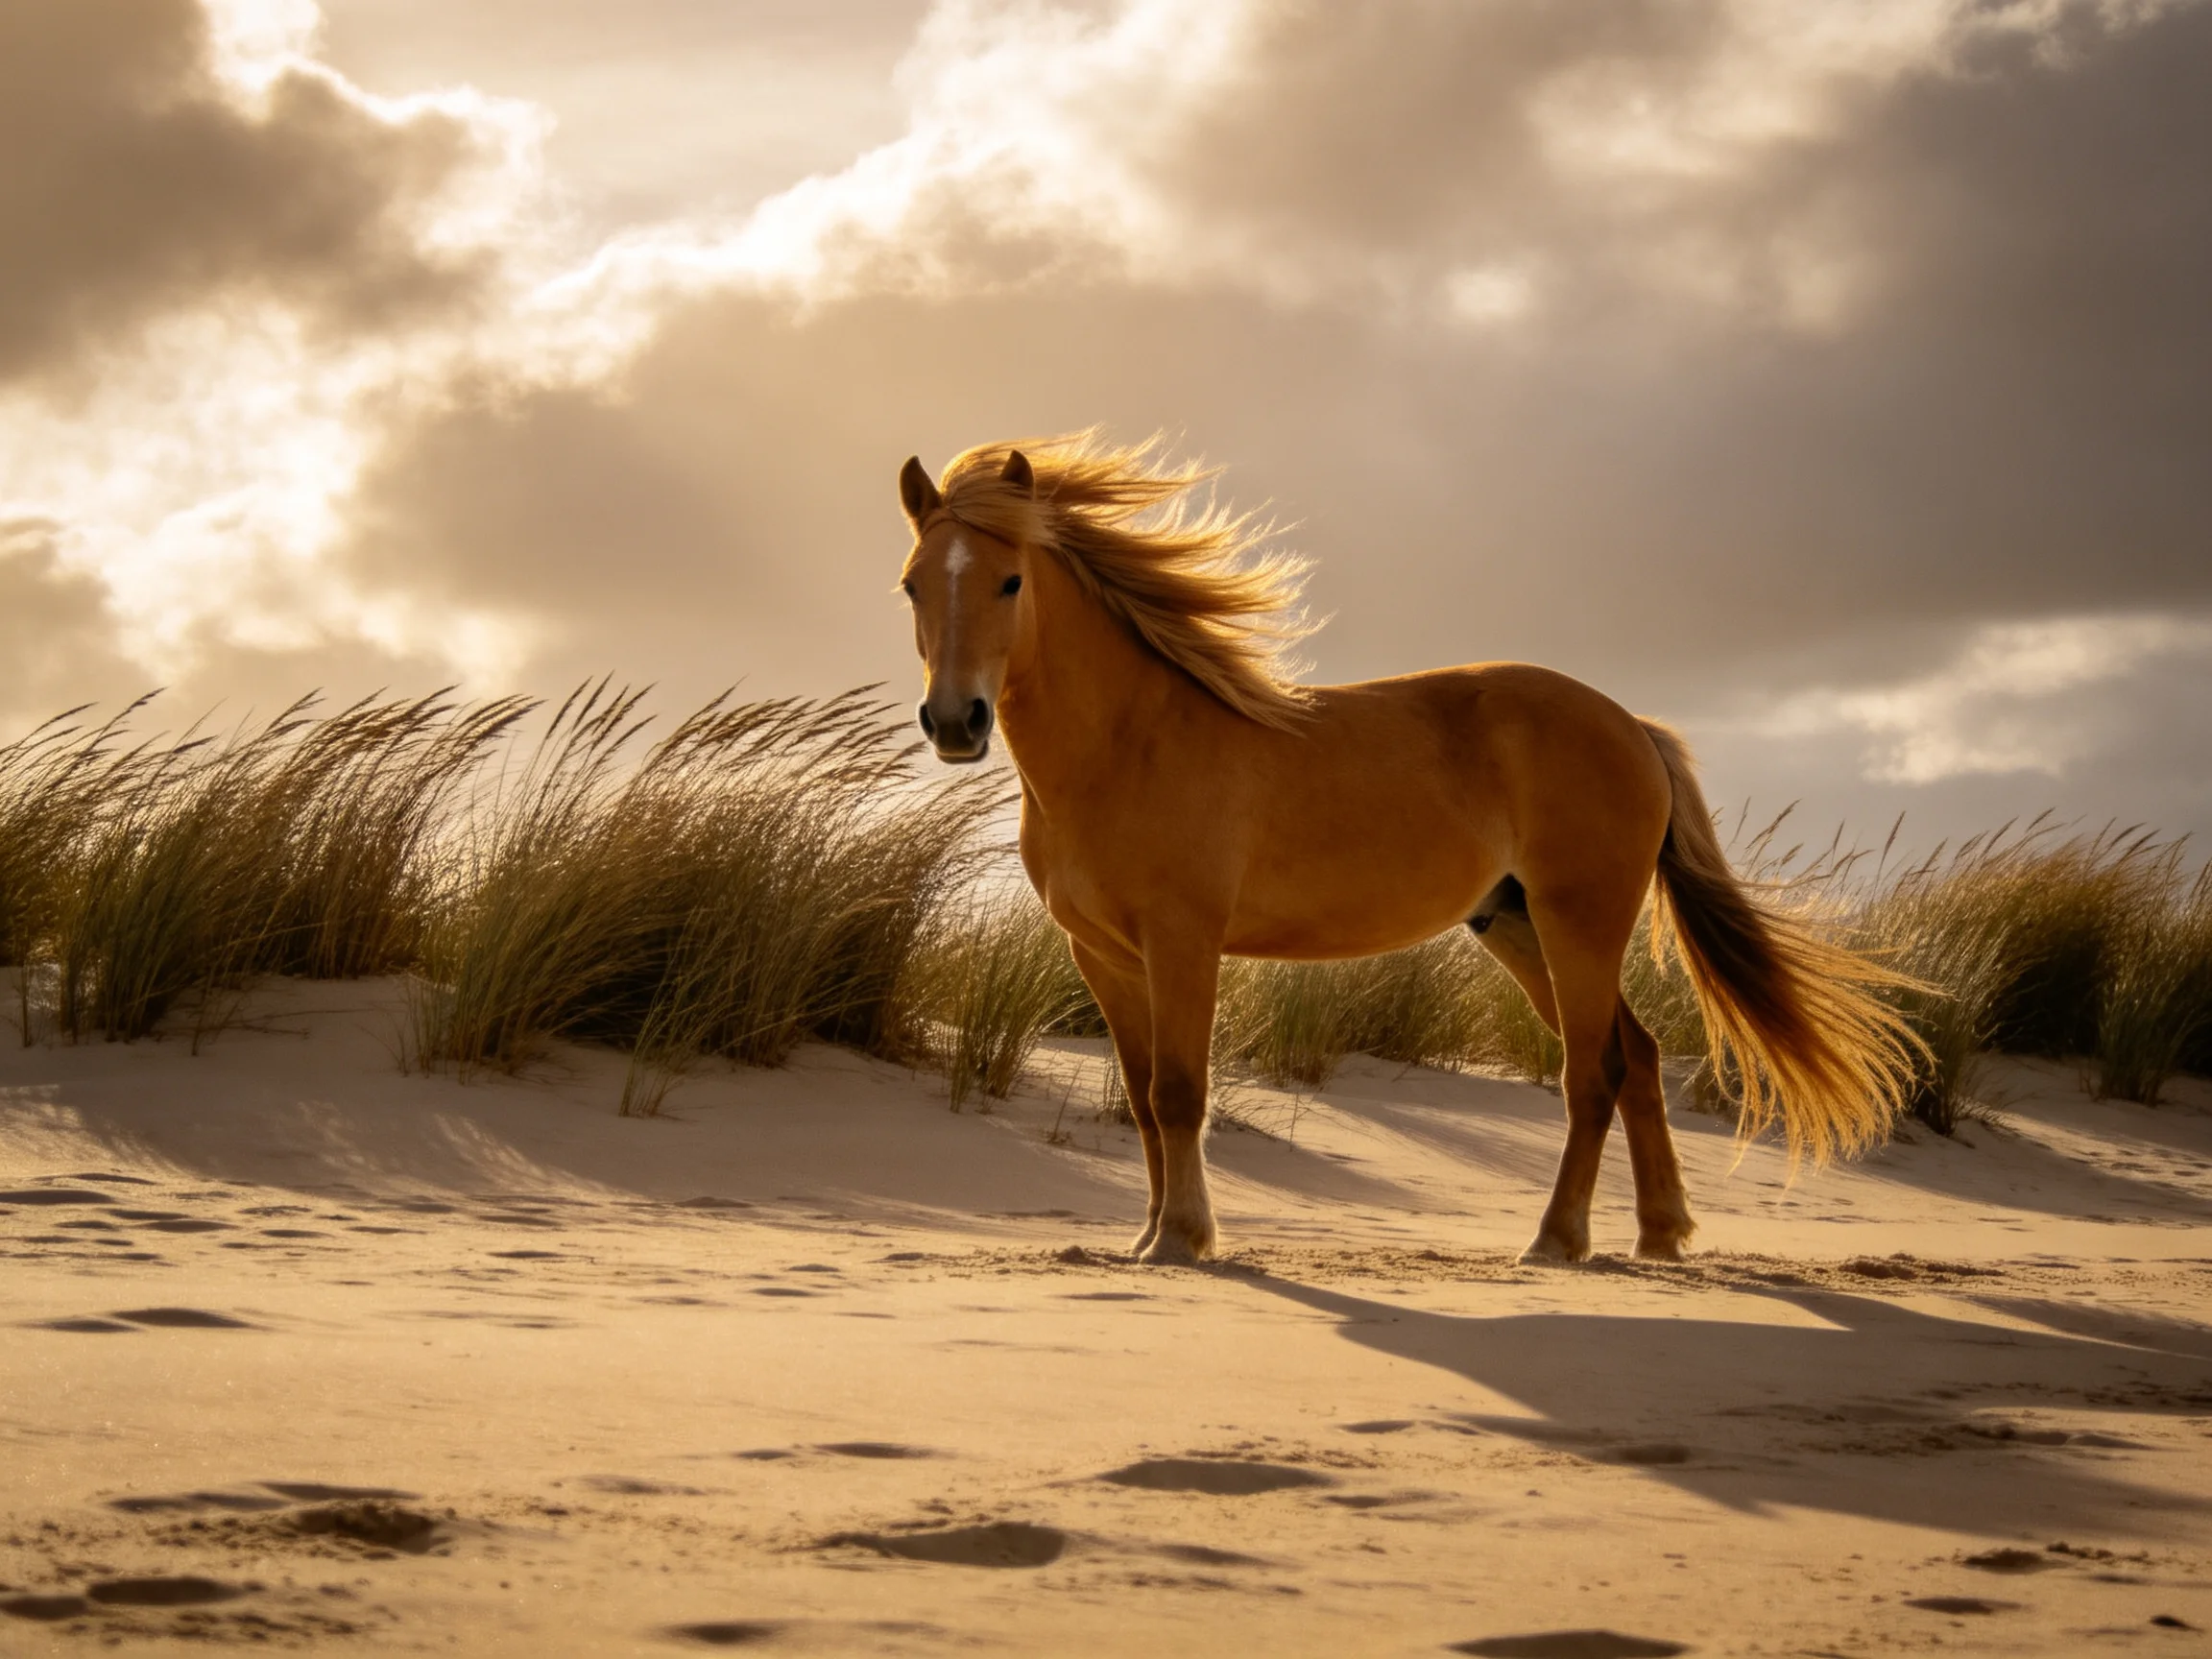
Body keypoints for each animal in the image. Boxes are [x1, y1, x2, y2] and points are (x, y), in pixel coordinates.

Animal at [894, 432, 1920, 1265]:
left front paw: (1185, 1239)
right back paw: (1660, 1236)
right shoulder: (1101, 953)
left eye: (1010, 580)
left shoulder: (1183, 943)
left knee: (1593, 1073)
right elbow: (1146, 1097)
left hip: (1579, 923)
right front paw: (1148, 1236)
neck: (1130, 740)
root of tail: (1630, 725)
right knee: (1636, 1056)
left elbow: (1183, 1091)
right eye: (912, 583)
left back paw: (1556, 1241)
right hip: (1517, 928)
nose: (955, 724)